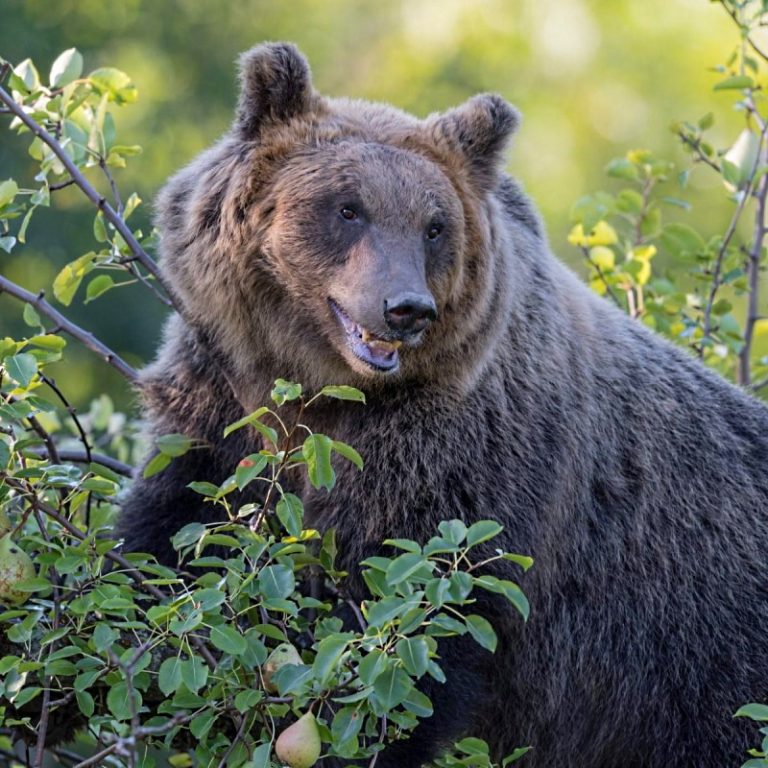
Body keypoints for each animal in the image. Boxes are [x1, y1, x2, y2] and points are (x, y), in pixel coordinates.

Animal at [118, 42, 768, 768]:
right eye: (348, 208)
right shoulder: (221, 400)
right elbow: (173, 532)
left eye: (434, 226)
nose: (405, 308)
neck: (321, 389)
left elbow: (411, 620)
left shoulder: (457, 458)